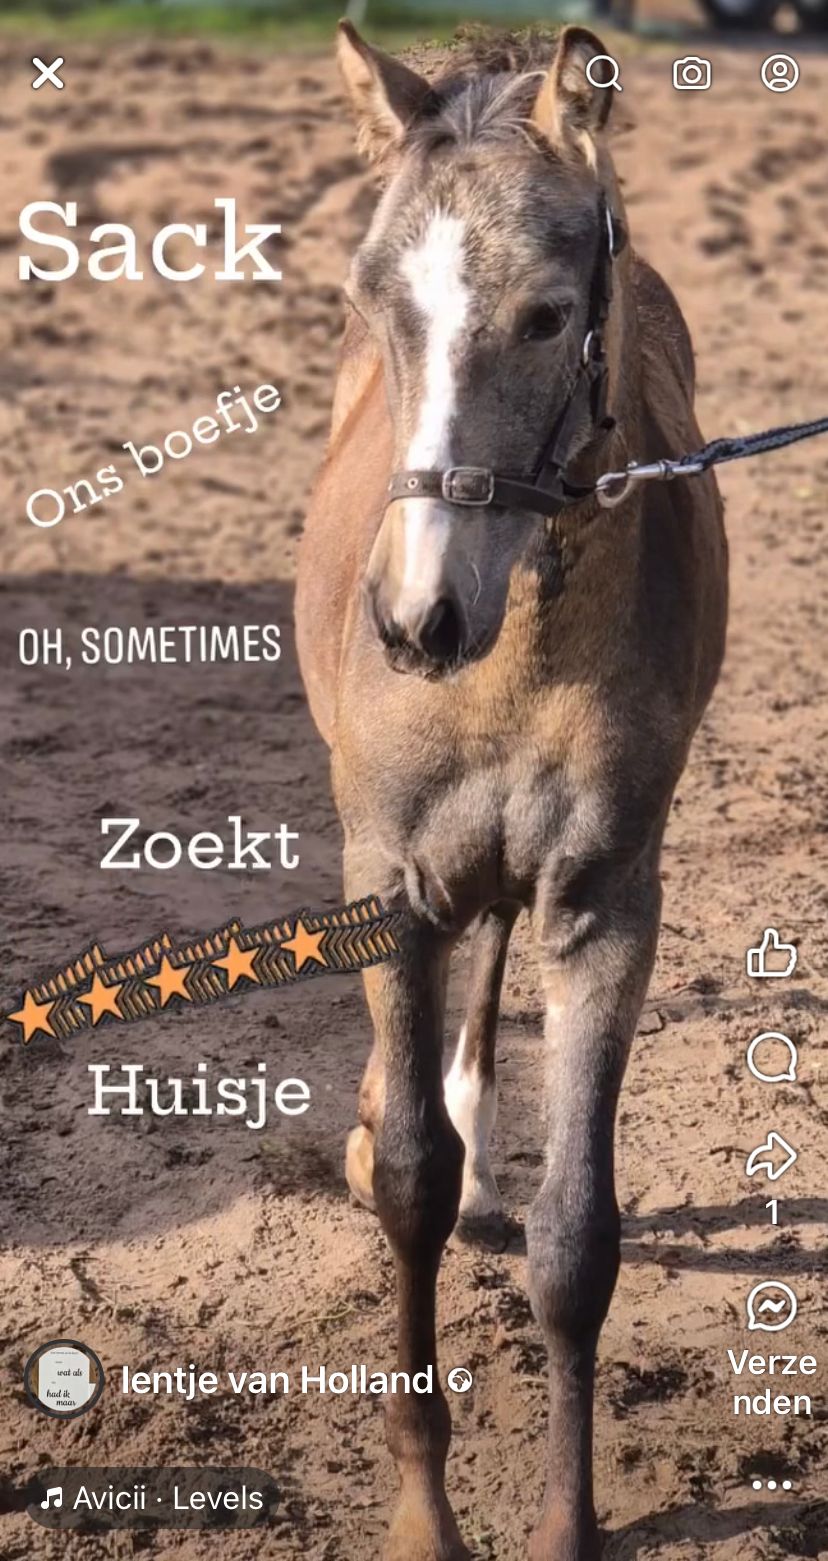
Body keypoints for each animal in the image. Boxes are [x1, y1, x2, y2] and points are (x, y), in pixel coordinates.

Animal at [296, 23, 727, 1559]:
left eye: (547, 317)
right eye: (370, 301)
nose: (412, 619)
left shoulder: (603, 901)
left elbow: (577, 1239)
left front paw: (566, 1523)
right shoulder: (387, 876)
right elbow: (410, 1188)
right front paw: (424, 1515)